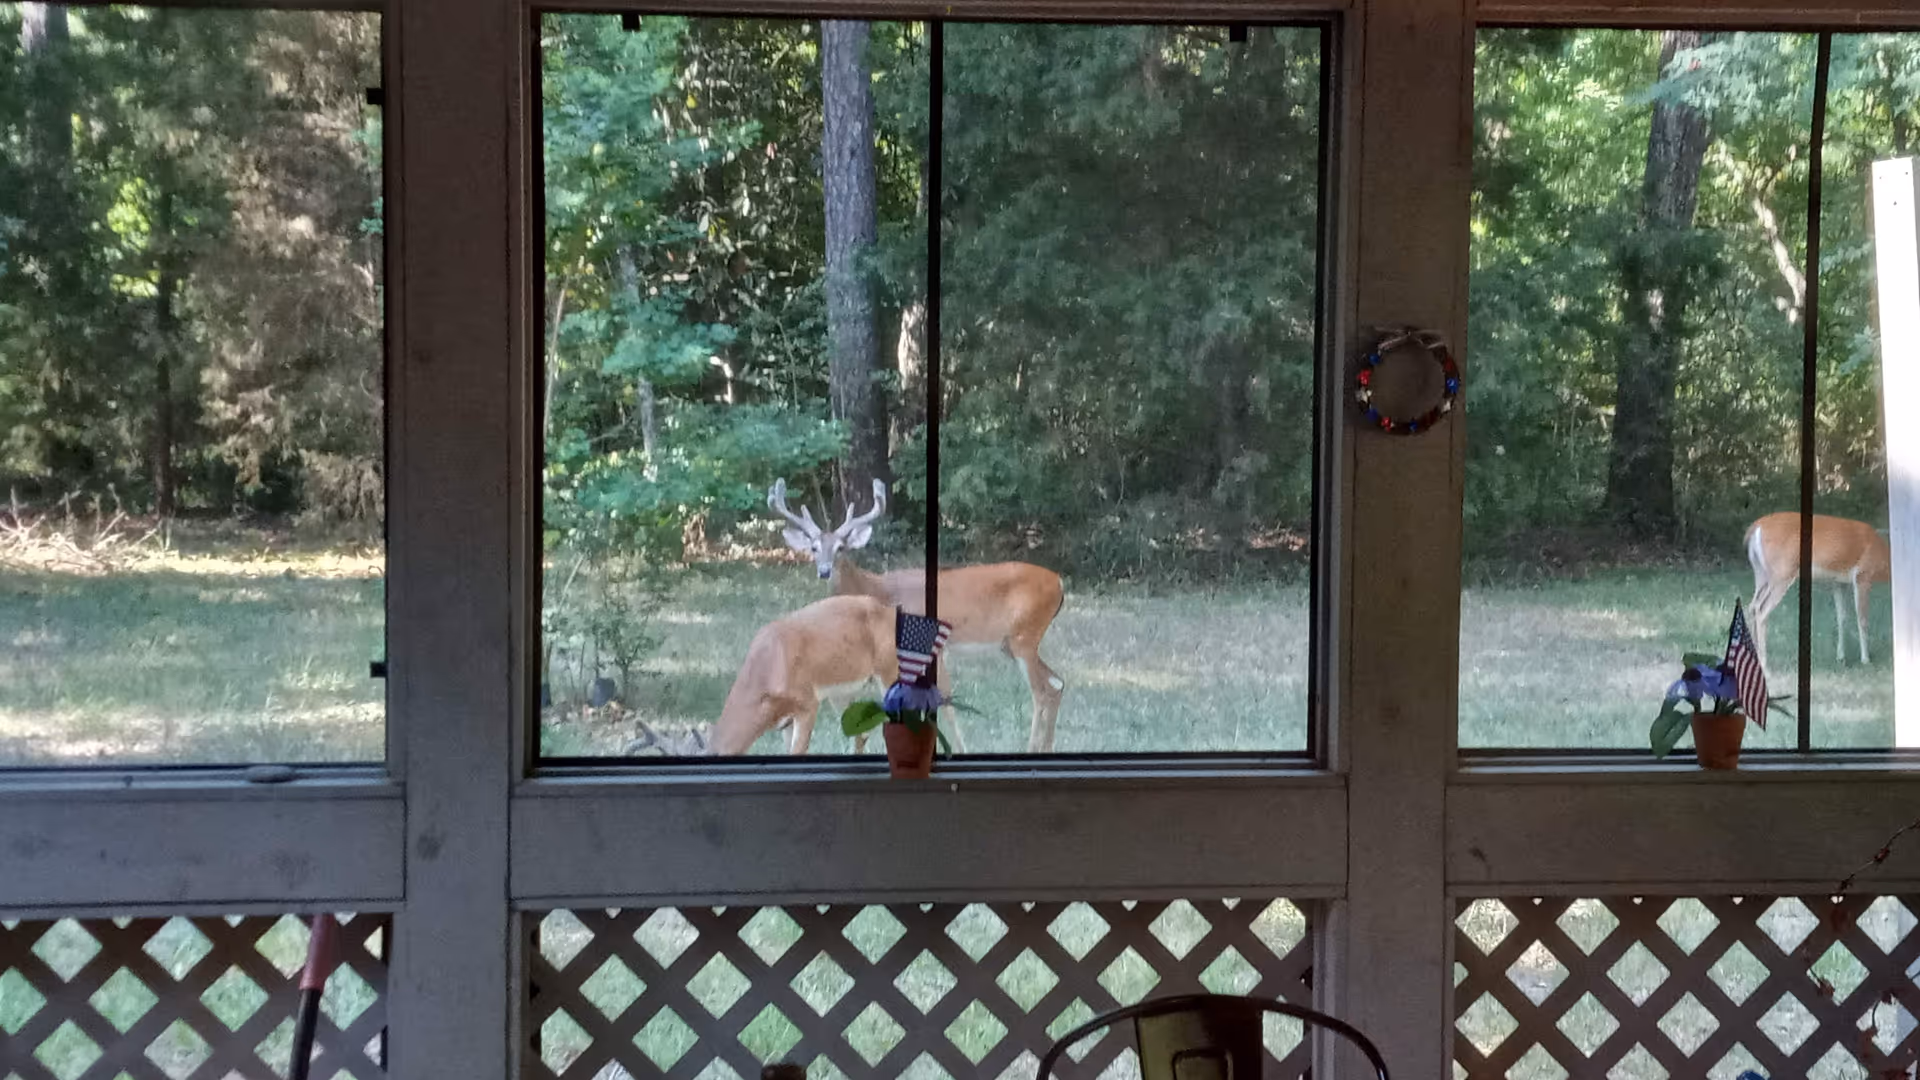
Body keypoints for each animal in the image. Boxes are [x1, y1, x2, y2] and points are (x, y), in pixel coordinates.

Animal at [705, 593, 950, 756]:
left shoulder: (807, 702)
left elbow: (798, 751)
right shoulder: (785, 721)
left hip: (890, 672)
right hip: (841, 695)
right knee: (862, 735)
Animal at [768, 477, 1067, 752]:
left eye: (841, 547)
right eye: (814, 548)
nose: (825, 571)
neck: (879, 590)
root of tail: (1059, 582)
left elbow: (942, 700)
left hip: (1024, 635)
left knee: (1042, 691)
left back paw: (1032, 748)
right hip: (1011, 643)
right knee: (1057, 683)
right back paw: (1047, 747)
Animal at [1744, 511, 1891, 672]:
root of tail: (1756, 527)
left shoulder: (1839, 583)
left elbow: (1841, 617)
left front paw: (1841, 657)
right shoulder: (1863, 575)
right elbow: (1862, 619)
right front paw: (1866, 660)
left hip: (1761, 574)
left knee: (1752, 606)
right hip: (1782, 572)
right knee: (1761, 610)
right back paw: (1765, 665)